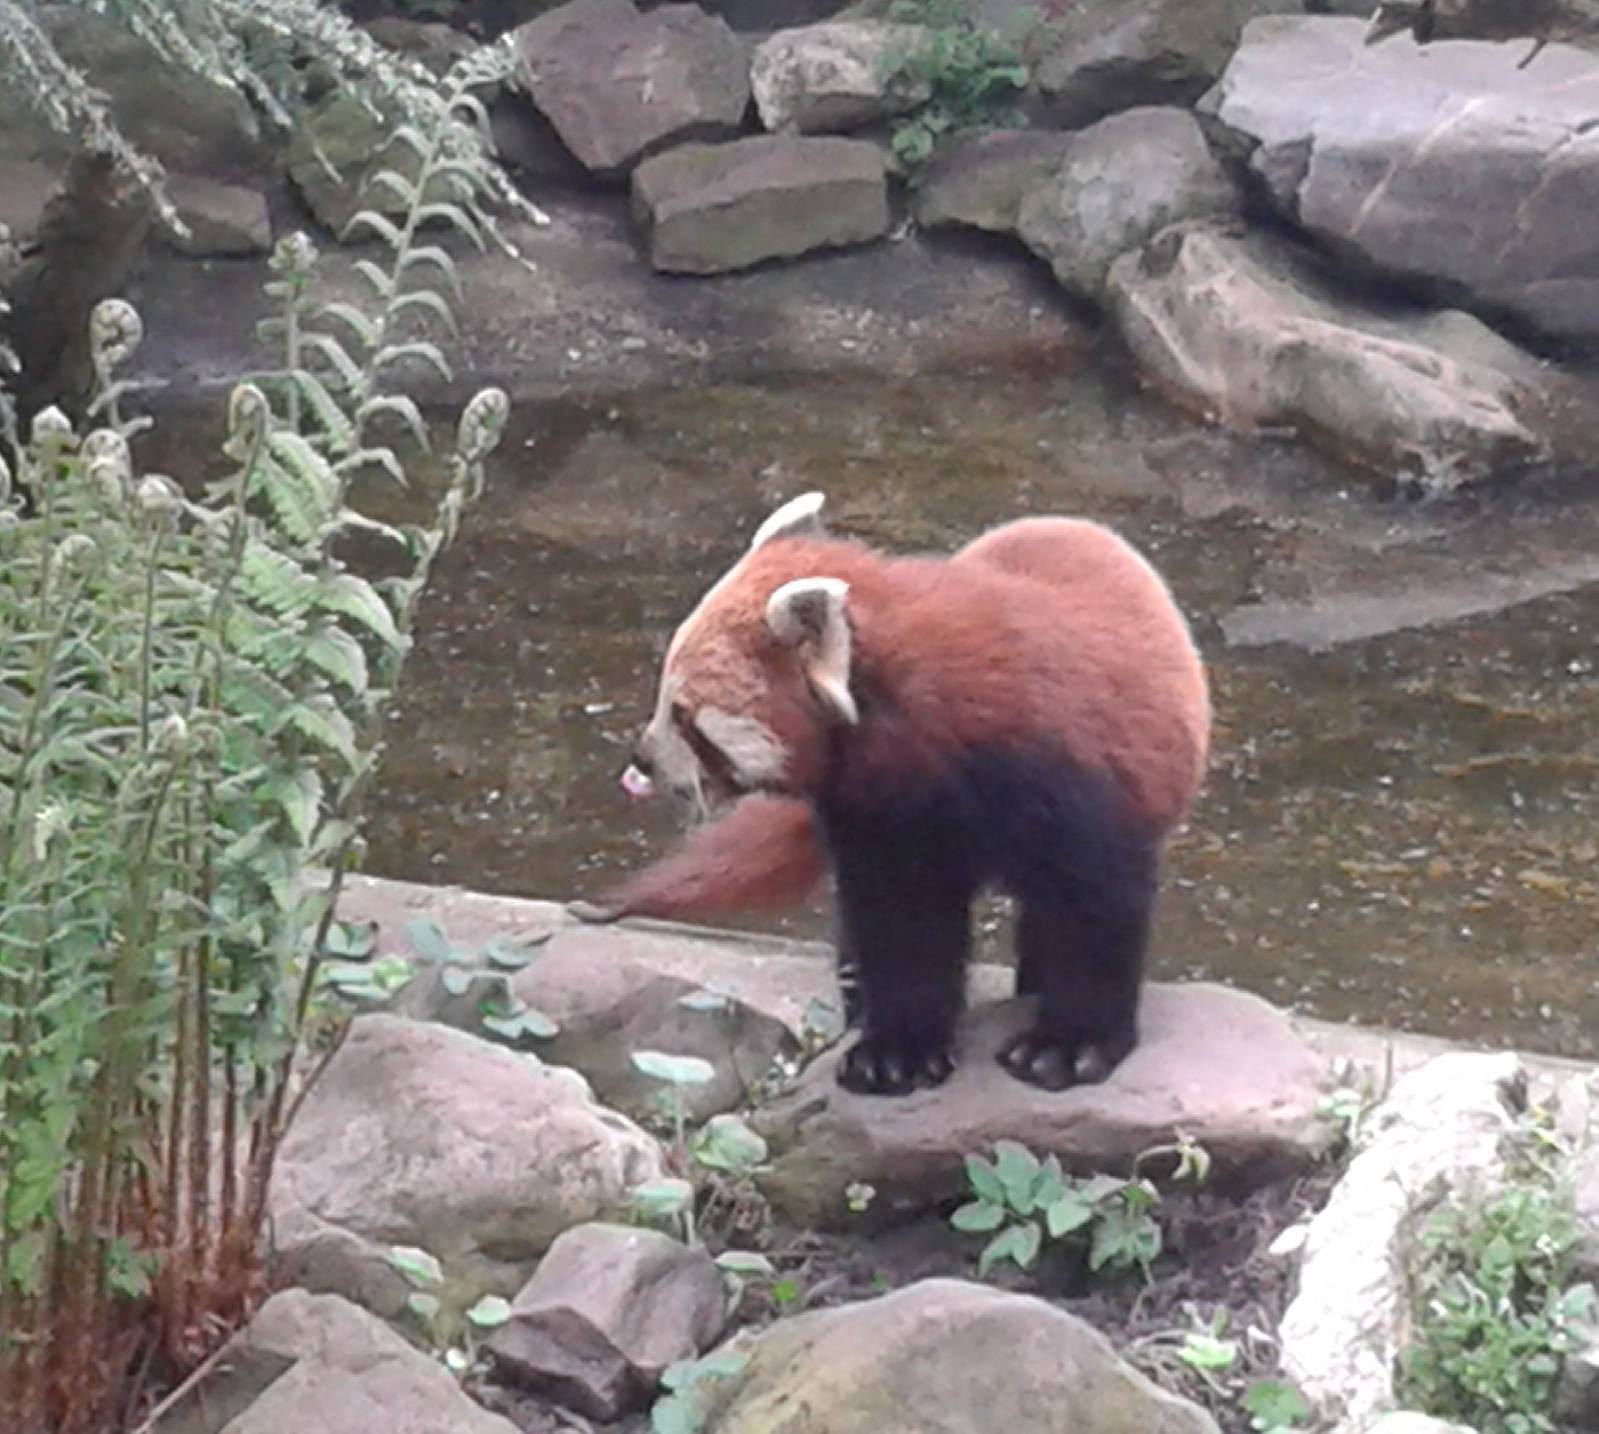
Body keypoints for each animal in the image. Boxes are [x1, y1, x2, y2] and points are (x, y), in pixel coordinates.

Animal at [572, 493, 1211, 1097]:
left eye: (683, 715)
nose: (641, 759)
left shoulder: (1076, 780)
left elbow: (1092, 914)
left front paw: (1068, 1046)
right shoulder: (883, 818)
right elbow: (903, 926)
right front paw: (895, 1053)